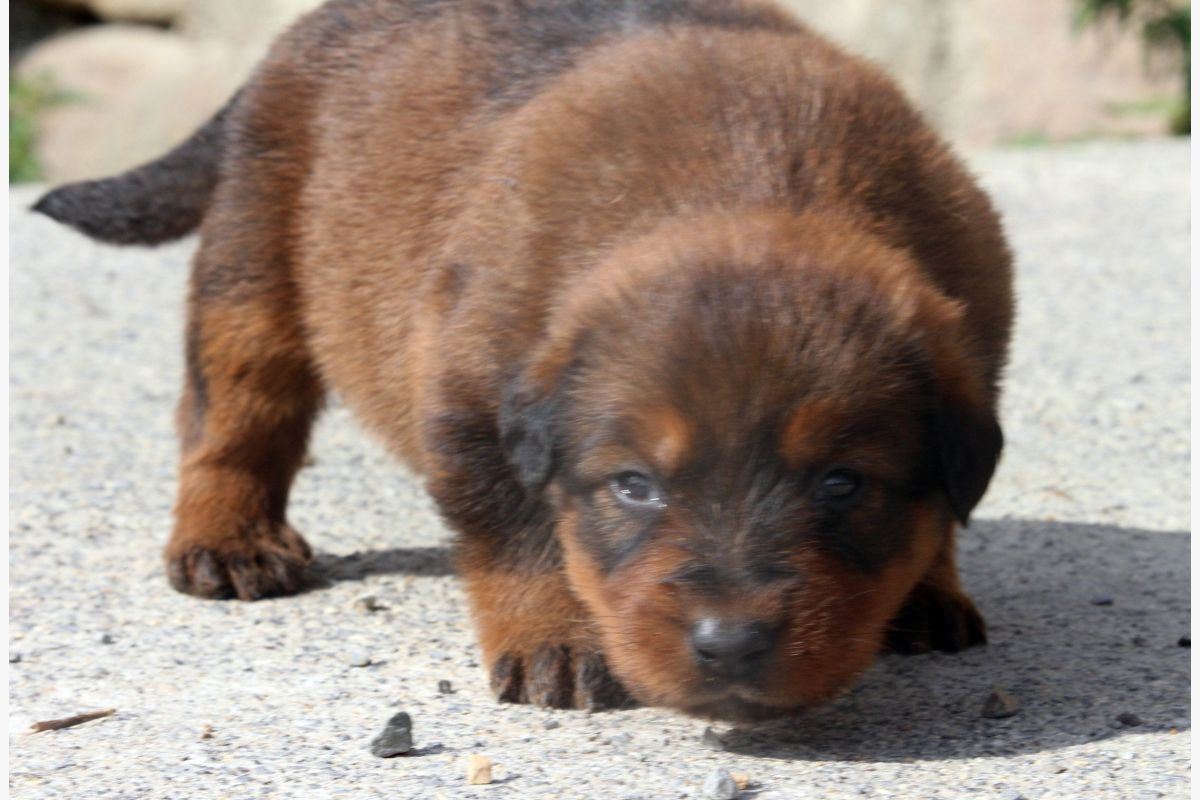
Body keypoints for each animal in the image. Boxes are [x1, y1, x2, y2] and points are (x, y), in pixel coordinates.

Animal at [35, 0, 1012, 719]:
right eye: (633, 487)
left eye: (843, 484)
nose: (729, 644)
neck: (754, 179)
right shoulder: (470, 396)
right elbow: (520, 536)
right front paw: (560, 644)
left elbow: (937, 514)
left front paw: (925, 590)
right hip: (253, 268)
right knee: (232, 419)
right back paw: (228, 541)